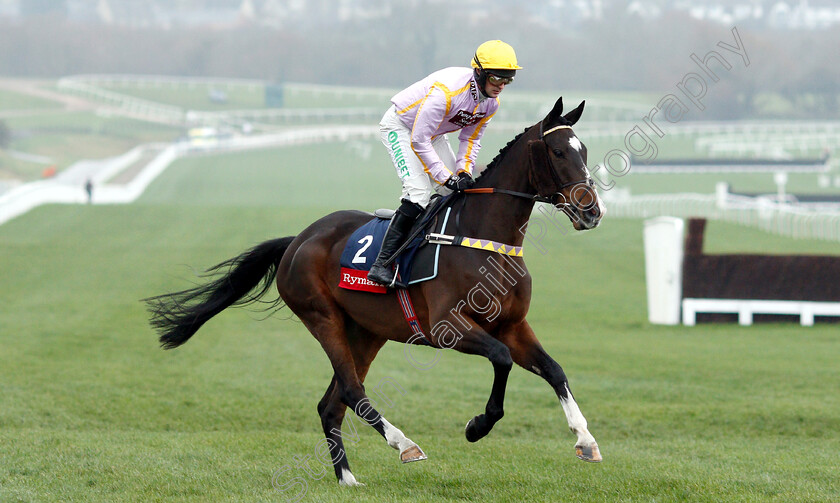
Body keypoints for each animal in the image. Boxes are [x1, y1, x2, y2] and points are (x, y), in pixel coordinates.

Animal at [144, 96, 604, 486]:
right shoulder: (447, 327)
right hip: (322, 317)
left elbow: (554, 370)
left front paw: (585, 440)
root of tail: (298, 240)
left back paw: (347, 478)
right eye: (559, 153)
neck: (483, 238)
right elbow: (502, 358)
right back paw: (404, 445)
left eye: (584, 151)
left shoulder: (513, 324)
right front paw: (477, 426)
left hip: (367, 332)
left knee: (331, 403)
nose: (591, 211)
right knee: (351, 391)